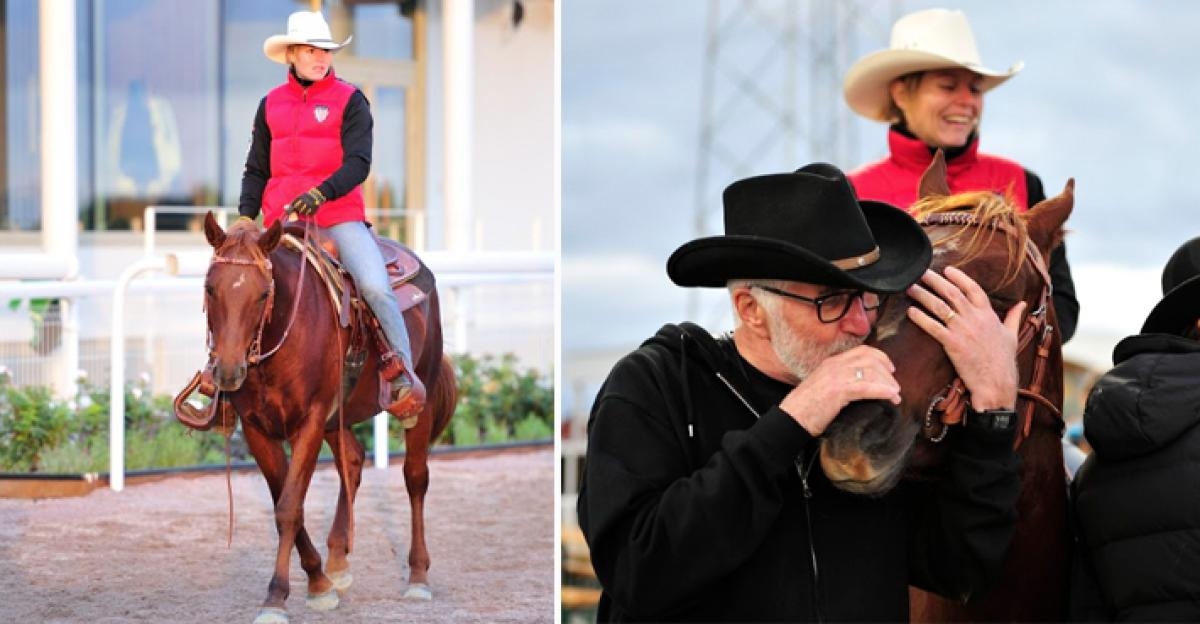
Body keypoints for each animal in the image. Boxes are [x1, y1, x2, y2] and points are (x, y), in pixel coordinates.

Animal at [182, 212, 453, 619]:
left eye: (263, 293)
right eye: (210, 289)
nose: (228, 372)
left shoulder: (308, 423)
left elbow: (289, 507)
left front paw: (277, 597)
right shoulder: (258, 430)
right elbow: (287, 505)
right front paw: (319, 580)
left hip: (421, 396)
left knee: (415, 478)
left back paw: (418, 576)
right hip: (336, 418)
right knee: (352, 461)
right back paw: (338, 560)